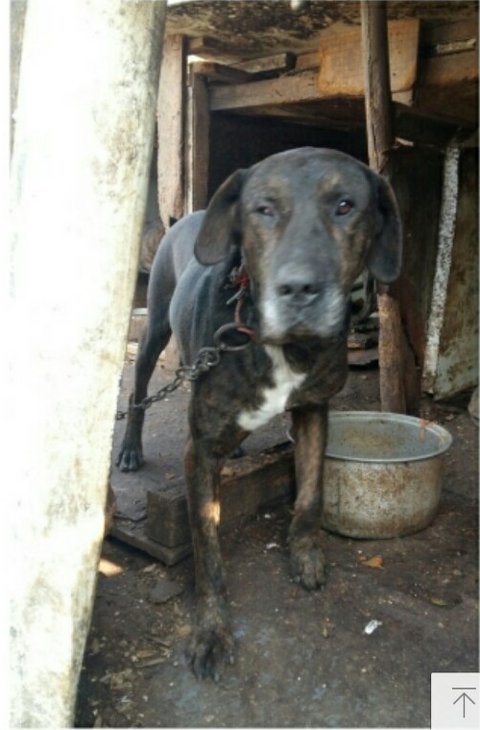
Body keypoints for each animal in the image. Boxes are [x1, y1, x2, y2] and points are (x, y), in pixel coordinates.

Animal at [117, 147, 402, 679]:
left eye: (346, 206)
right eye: (263, 209)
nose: (299, 288)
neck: (279, 345)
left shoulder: (313, 411)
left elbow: (310, 495)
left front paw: (305, 554)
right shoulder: (200, 450)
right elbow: (207, 546)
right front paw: (212, 631)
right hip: (153, 329)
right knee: (139, 390)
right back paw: (129, 448)